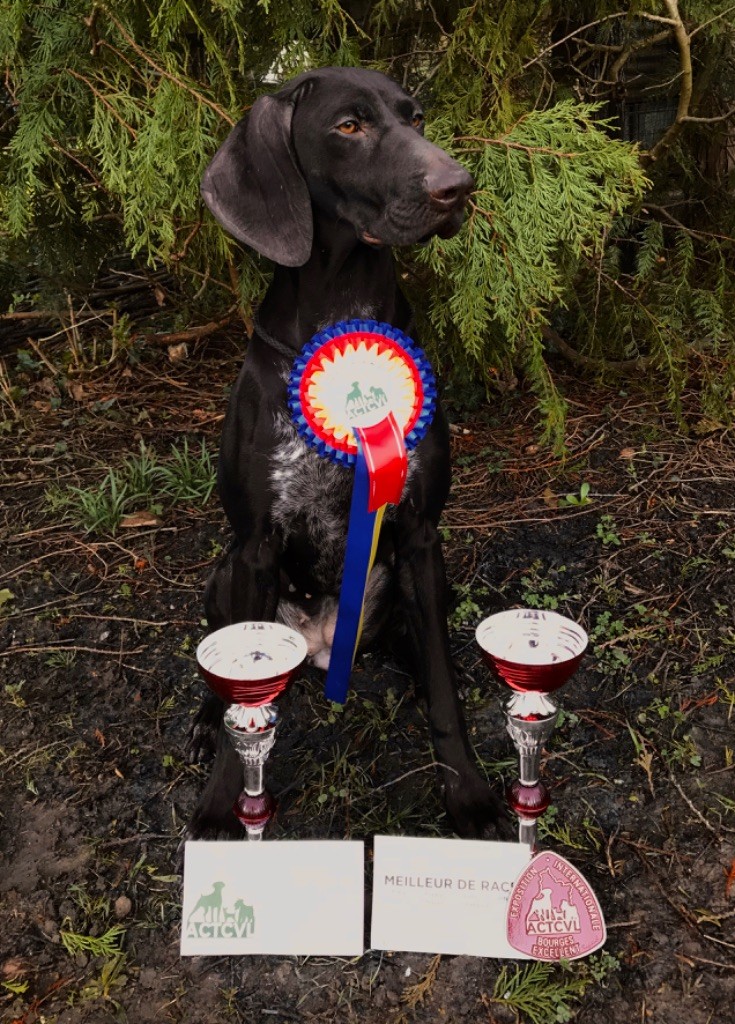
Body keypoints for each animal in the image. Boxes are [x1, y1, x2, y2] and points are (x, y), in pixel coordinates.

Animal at [185, 68, 507, 843]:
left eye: (415, 118)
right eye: (349, 126)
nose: (458, 186)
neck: (342, 307)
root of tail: (323, 647)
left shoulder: (420, 535)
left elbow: (444, 690)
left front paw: (468, 792)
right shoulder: (256, 545)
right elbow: (240, 700)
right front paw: (220, 803)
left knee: (425, 649)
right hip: (224, 573)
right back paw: (208, 721)